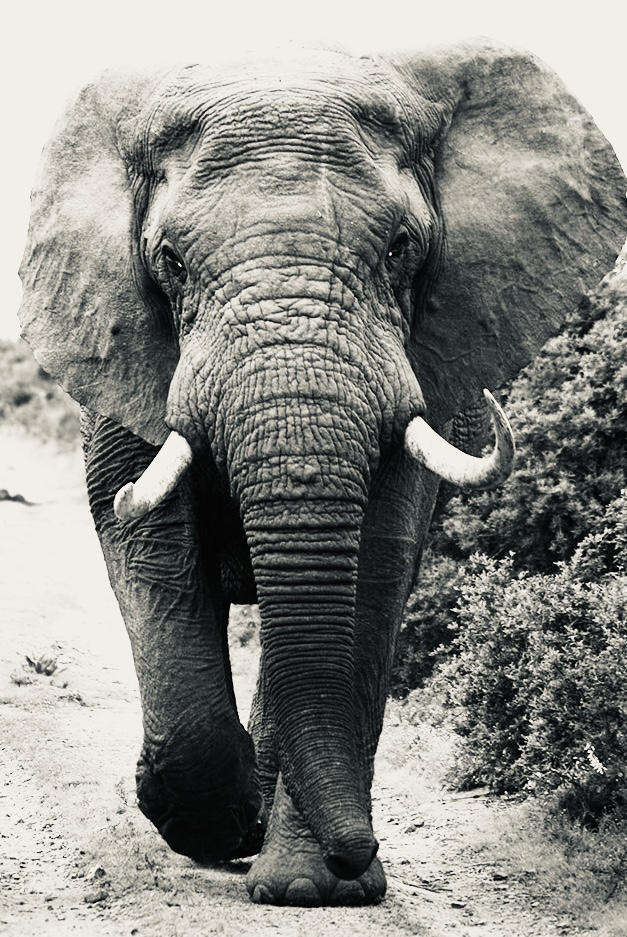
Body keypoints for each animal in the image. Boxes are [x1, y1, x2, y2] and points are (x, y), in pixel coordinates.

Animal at [19, 40, 627, 906]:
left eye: (400, 247)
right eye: (170, 261)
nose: (355, 848)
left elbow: (373, 562)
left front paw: (315, 888)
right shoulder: (124, 350)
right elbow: (149, 544)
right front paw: (218, 823)